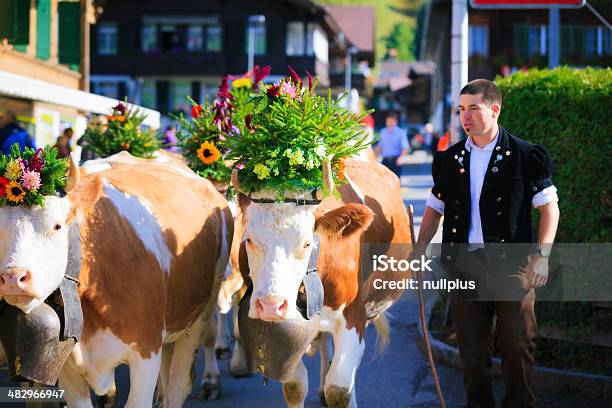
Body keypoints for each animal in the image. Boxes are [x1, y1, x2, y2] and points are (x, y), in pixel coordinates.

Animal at [0, 154, 233, 408]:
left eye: (57, 225)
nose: (13, 277)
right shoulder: (66, 366)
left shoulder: (147, 350)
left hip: (201, 313)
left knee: (181, 381)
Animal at [232, 159, 414, 408]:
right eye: (249, 239)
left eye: (307, 243)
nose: (270, 306)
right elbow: (294, 387)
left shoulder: (354, 317)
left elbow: (339, 389)